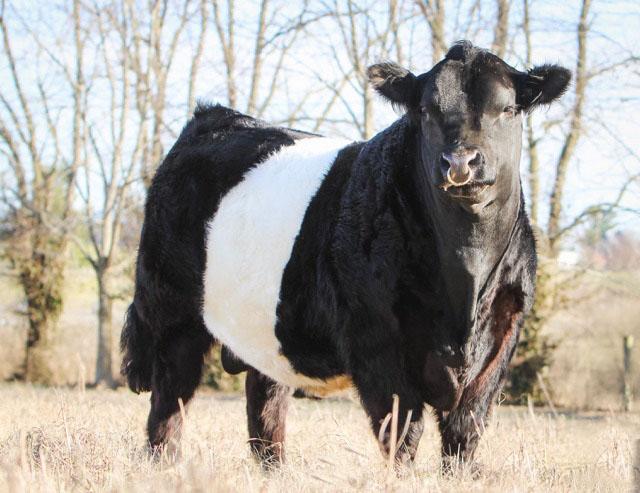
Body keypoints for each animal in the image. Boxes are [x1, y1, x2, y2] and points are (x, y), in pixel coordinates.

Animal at [120, 40, 568, 468]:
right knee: (169, 403)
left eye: (507, 108)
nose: (460, 161)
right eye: (425, 110)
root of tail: (213, 116)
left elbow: (463, 437)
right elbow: (402, 434)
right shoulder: (375, 340)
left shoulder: (501, 339)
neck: (465, 285)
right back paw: (164, 465)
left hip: (267, 334)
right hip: (170, 313)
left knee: (265, 408)